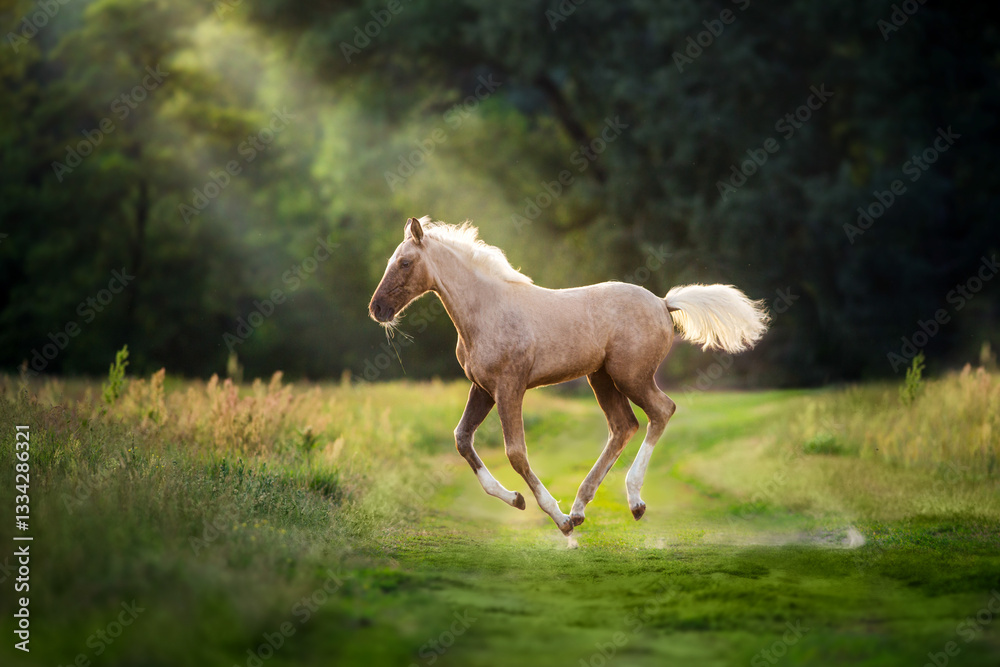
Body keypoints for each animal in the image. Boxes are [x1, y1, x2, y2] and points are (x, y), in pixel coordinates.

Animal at [369, 216, 769, 535]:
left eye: (405, 262)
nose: (377, 309)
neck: (487, 311)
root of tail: (662, 302)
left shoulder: (510, 387)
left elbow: (515, 453)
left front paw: (556, 519)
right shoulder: (482, 388)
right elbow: (462, 439)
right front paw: (517, 500)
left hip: (632, 376)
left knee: (661, 411)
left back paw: (631, 502)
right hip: (601, 378)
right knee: (623, 426)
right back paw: (580, 508)